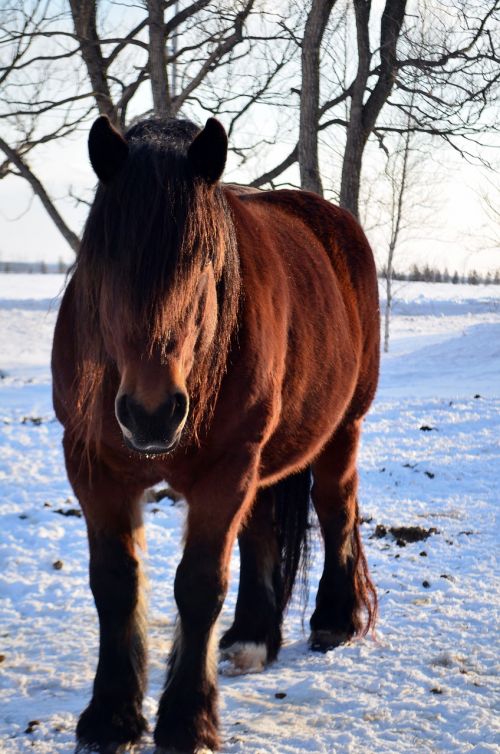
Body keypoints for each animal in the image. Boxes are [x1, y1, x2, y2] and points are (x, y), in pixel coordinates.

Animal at [50, 116, 378, 752]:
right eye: (104, 263)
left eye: (201, 263)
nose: (151, 416)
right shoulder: (94, 468)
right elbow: (115, 584)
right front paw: (111, 716)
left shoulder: (225, 469)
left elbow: (200, 585)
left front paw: (186, 720)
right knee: (261, 531)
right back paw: (251, 637)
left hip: (340, 431)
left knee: (336, 511)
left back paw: (333, 620)